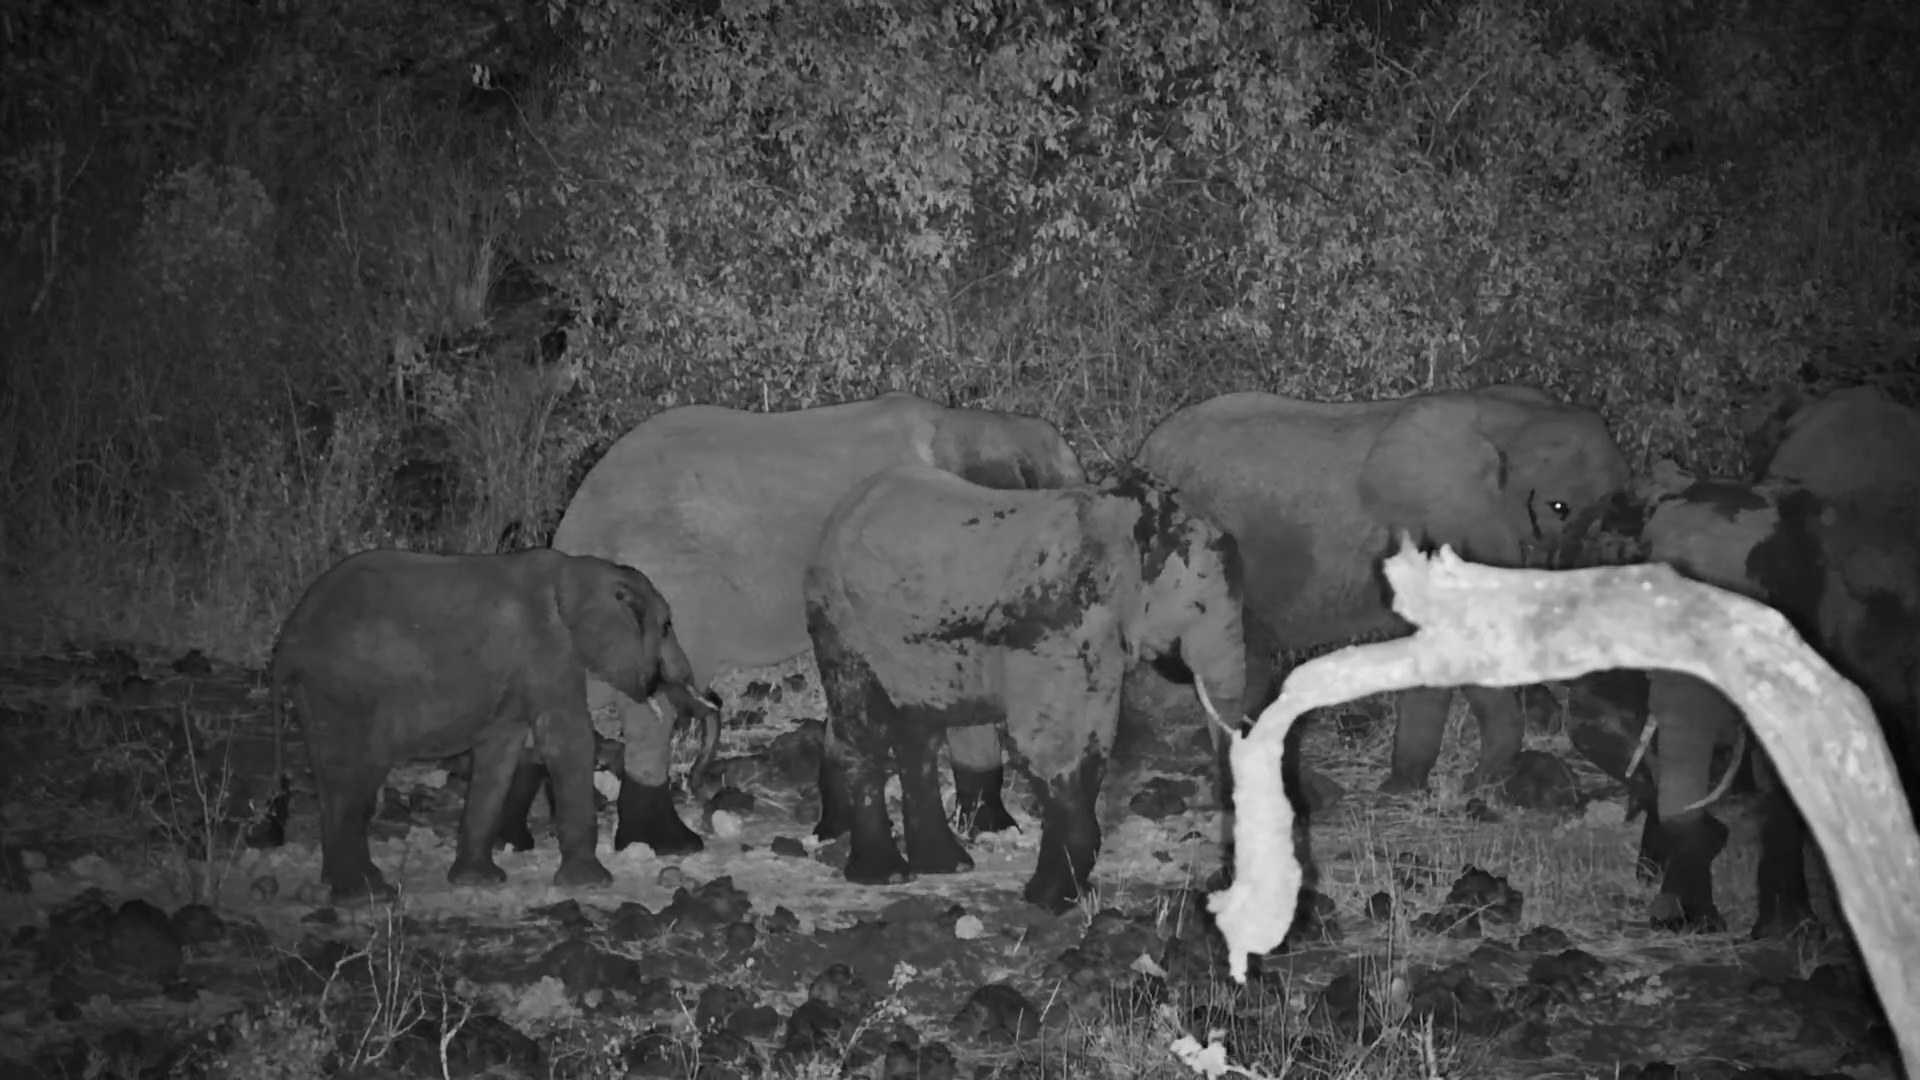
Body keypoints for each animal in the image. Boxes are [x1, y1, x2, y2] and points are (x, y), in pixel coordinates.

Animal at [269, 548, 716, 903]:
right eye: (667, 626)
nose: (696, 781)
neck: (577, 571)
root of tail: (286, 641)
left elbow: (501, 750)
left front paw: (478, 882)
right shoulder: (547, 649)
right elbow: (566, 740)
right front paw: (592, 885)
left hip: (318, 694)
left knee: (330, 777)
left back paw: (344, 889)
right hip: (348, 691)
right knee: (356, 774)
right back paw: (368, 893)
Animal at [539, 392, 1086, 856]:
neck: (972, 422)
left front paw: (838, 830)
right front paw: (997, 829)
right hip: (667, 580)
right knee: (650, 710)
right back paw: (667, 843)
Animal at [805, 464, 1247, 913]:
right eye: (1198, 606)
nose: (1220, 880)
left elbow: (1094, 738)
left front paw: (1059, 894)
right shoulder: (1053, 626)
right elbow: (1050, 744)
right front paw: (1048, 900)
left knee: (918, 737)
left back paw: (946, 866)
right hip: (840, 623)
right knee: (865, 729)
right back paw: (887, 874)